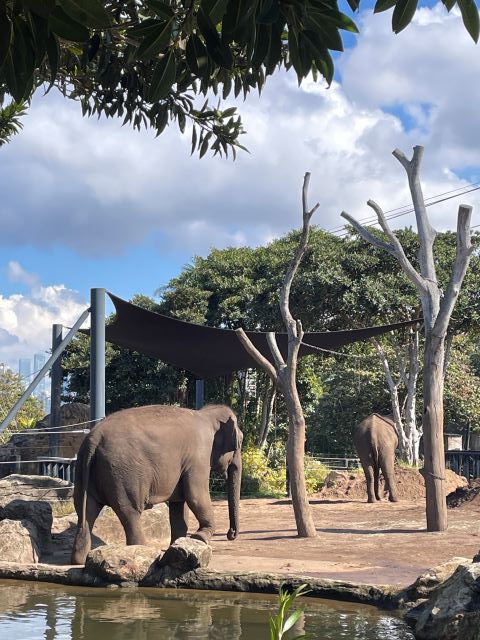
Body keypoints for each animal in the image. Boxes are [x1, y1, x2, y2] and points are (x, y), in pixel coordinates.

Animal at [70, 404, 244, 564]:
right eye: (240, 441)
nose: (231, 533)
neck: (207, 414)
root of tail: (94, 439)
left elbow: (179, 505)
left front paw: (177, 545)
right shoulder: (199, 457)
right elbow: (195, 496)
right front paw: (200, 538)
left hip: (83, 471)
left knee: (86, 510)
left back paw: (79, 561)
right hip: (123, 474)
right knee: (129, 511)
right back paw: (142, 551)